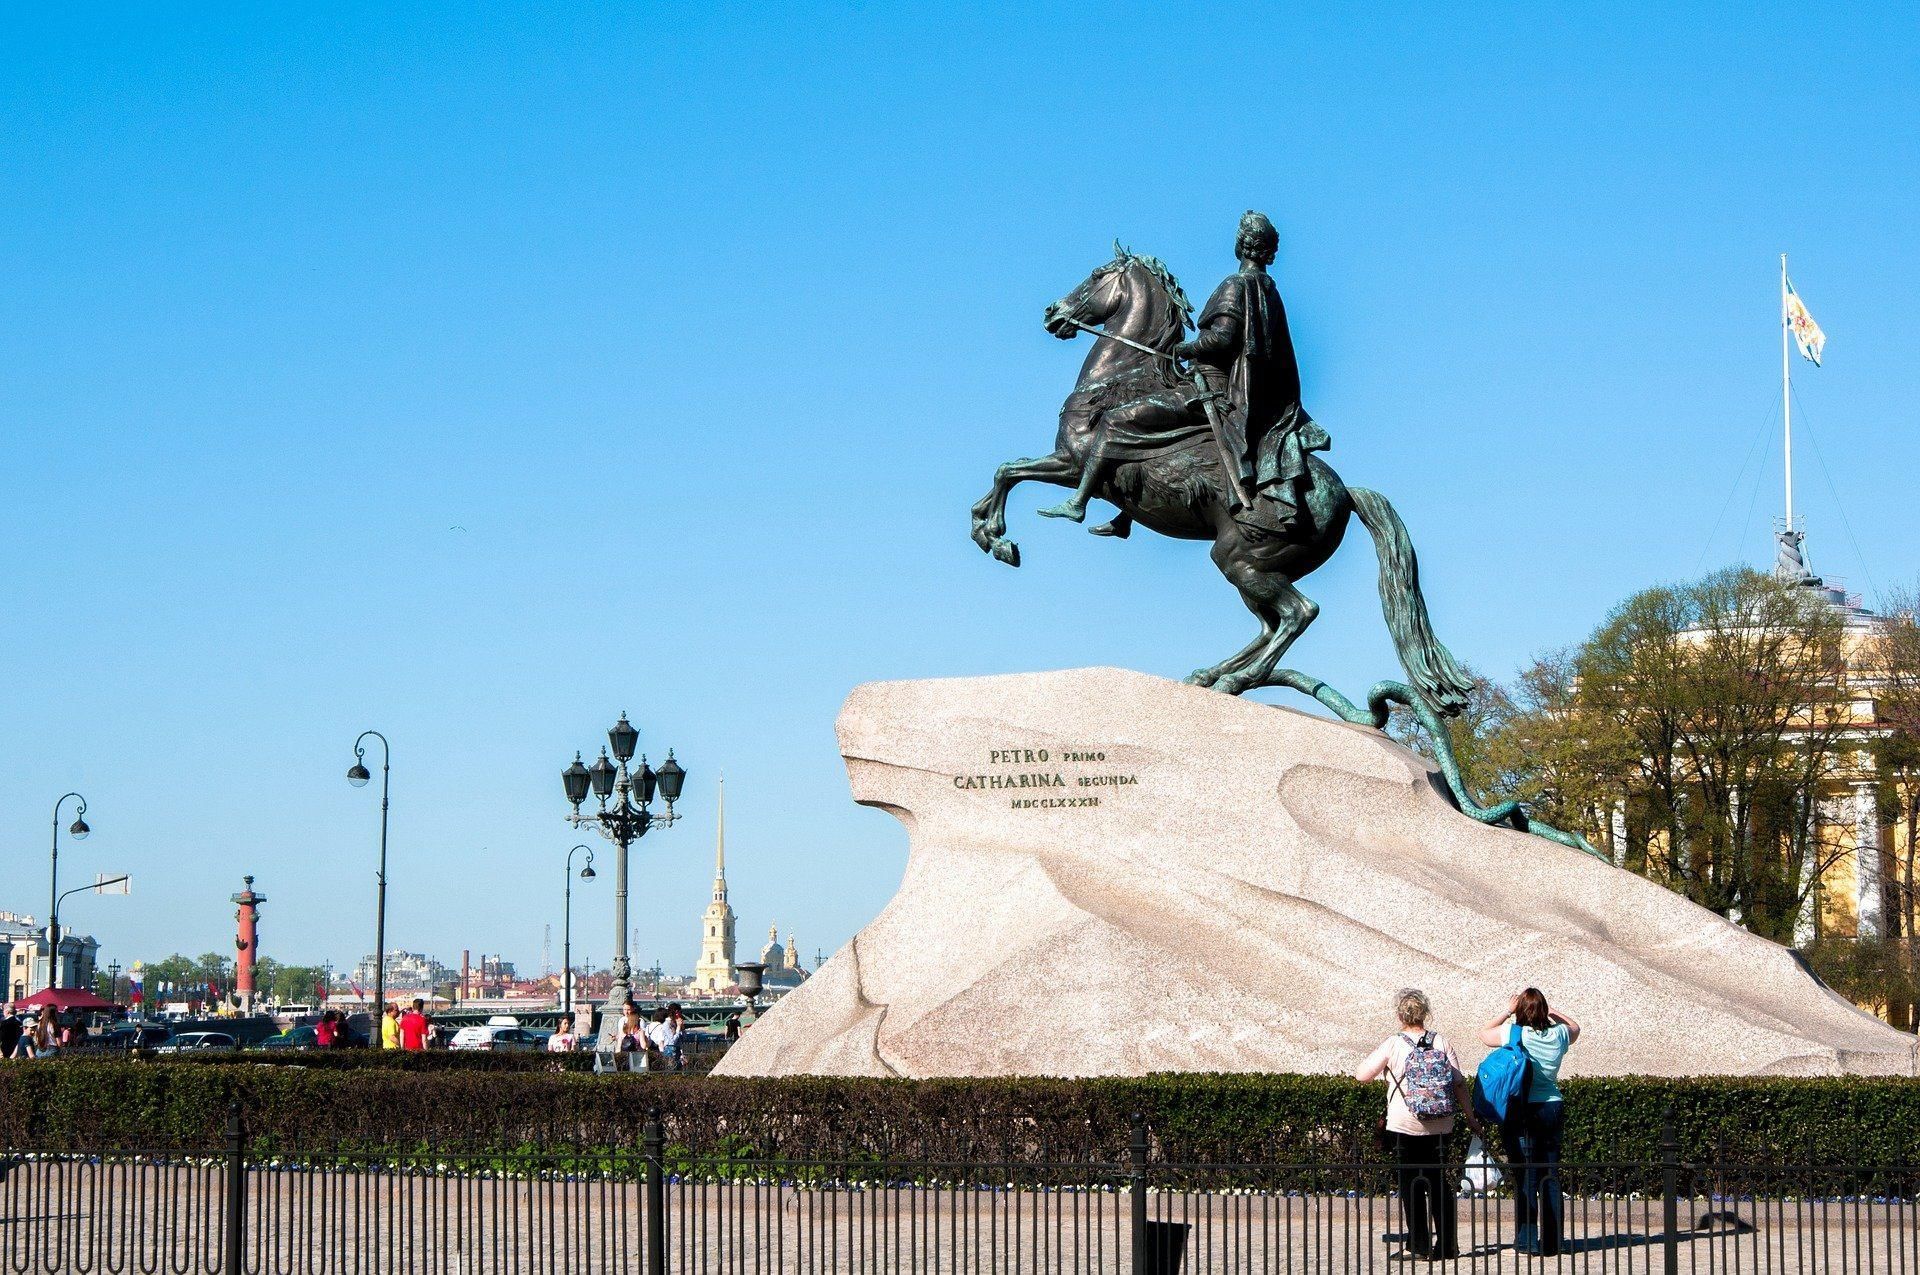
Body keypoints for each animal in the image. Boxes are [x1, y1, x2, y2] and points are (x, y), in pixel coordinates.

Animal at [967, 243, 1474, 710]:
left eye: (1096, 274)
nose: (1052, 313)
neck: (1122, 377)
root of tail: (1346, 494)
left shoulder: (1072, 462)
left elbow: (1011, 471)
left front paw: (1003, 536)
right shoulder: (1066, 462)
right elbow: (1004, 474)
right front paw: (987, 531)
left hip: (1243, 559)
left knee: (1298, 613)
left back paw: (1234, 680)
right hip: (1253, 565)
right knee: (1270, 624)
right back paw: (1211, 675)